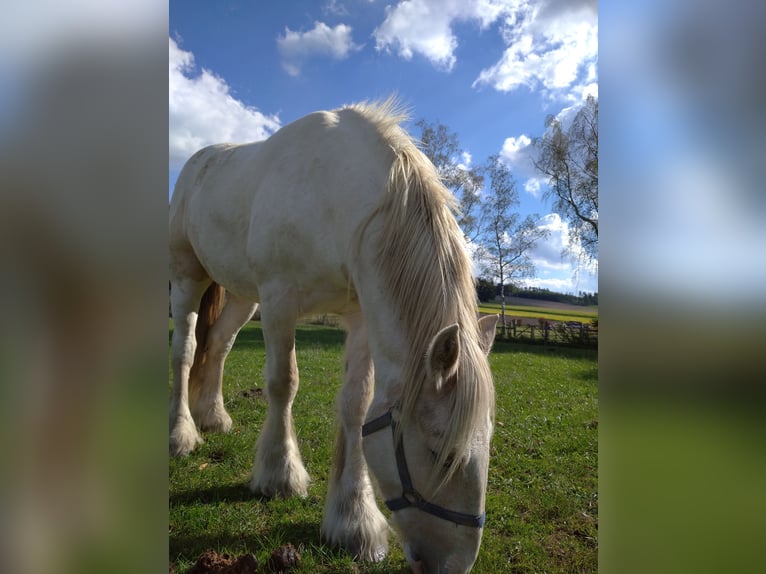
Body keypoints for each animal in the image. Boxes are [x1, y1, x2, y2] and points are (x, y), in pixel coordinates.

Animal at [169, 100, 500, 574]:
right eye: (442, 454)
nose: (452, 565)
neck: (335, 196)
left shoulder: (361, 316)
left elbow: (358, 406)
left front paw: (354, 521)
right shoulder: (279, 300)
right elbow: (283, 383)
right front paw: (279, 475)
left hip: (241, 295)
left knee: (217, 347)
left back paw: (212, 417)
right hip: (188, 276)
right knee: (186, 351)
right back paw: (181, 434)